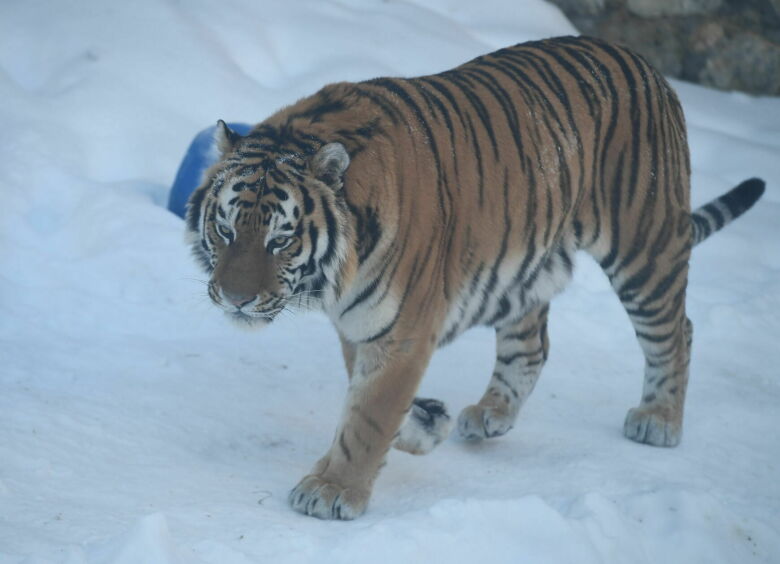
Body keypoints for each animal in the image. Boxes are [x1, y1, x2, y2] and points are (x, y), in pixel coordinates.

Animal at [186, 35, 764, 520]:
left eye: (280, 241)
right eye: (224, 229)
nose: (235, 299)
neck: (337, 278)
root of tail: (646, 64)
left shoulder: (400, 331)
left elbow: (369, 415)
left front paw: (332, 491)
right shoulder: (362, 325)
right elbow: (367, 398)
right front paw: (424, 426)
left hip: (645, 244)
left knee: (676, 331)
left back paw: (659, 419)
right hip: (526, 262)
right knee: (531, 345)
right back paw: (492, 414)